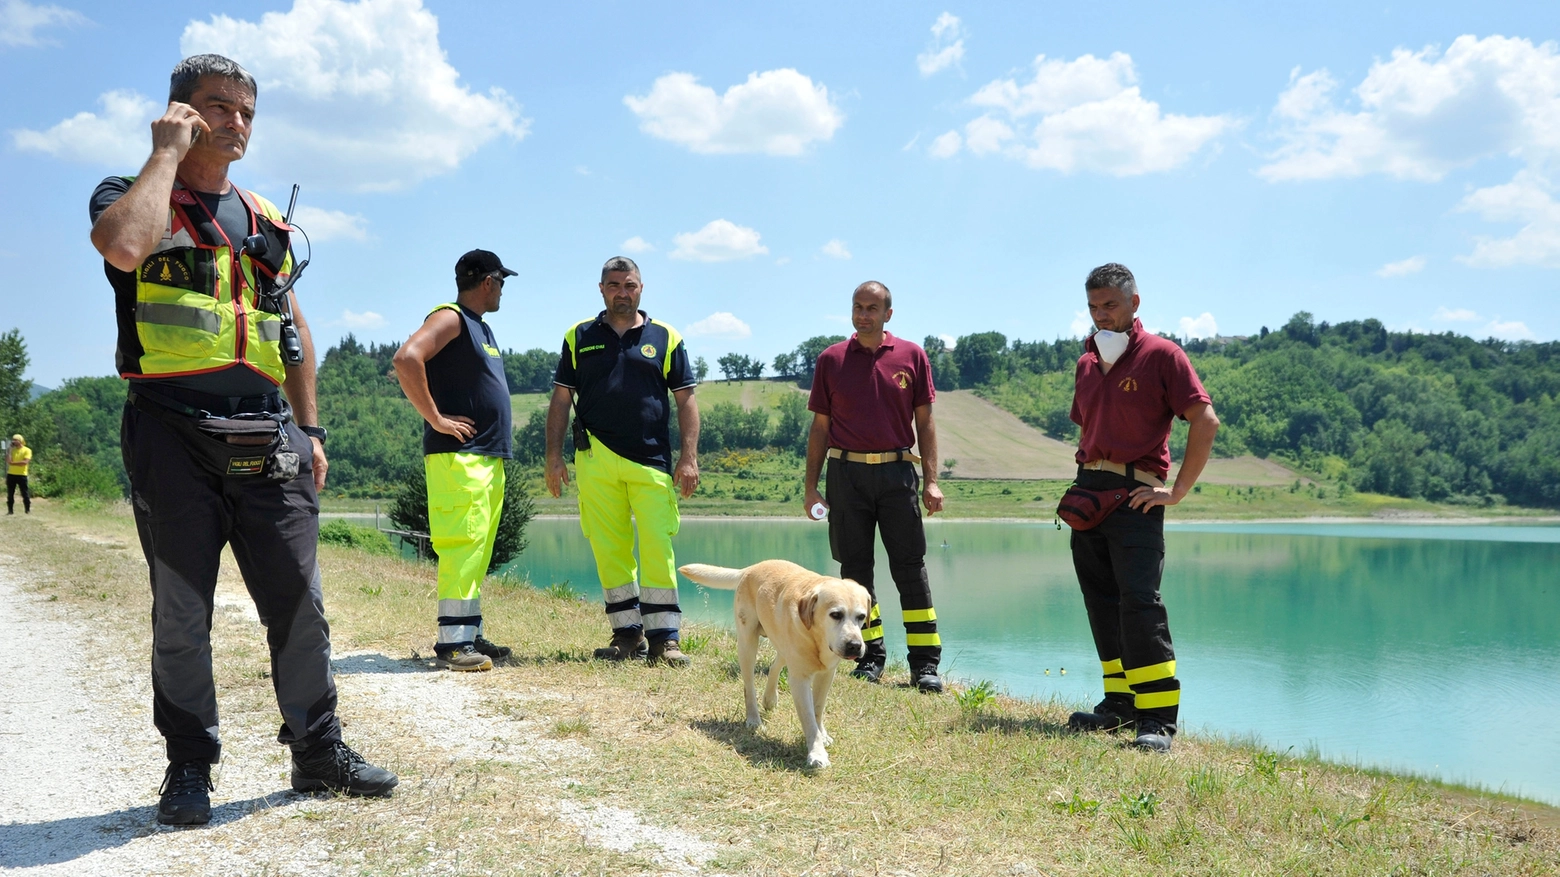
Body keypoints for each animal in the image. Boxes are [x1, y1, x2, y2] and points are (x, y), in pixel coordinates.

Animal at [680, 558, 873, 764]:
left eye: (861, 616)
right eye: (835, 614)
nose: (855, 645)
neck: (815, 636)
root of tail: (751, 568)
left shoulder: (827, 673)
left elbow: (818, 709)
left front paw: (823, 735)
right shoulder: (799, 680)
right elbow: (809, 717)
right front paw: (817, 753)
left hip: (781, 642)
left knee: (775, 666)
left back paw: (770, 698)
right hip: (747, 643)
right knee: (749, 686)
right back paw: (753, 719)